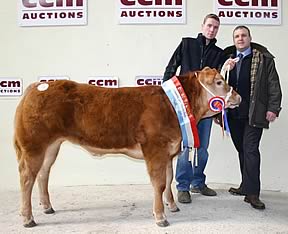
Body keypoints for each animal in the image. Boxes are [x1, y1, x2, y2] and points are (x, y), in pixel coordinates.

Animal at [14, 66, 242, 228]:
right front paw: (160, 217)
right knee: (27, 178)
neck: (173, 106)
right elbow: (159, 183)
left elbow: (168, 179)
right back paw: (27, 219)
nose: (238, 97)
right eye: (220, 81)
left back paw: (47, 207)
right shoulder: (155, 149)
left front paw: (172, 206)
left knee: (43, 174)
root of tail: (37, 86)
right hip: (34, 145)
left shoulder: (168, 151)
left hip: (51, 146)